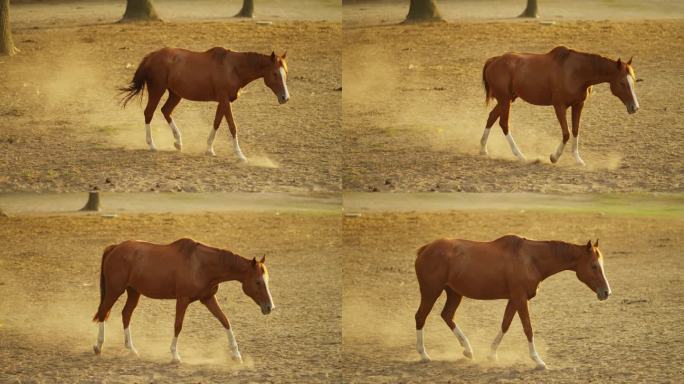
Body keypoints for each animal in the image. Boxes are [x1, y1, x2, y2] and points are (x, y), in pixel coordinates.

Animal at [92, 237, 274, 364]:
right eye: (258, 282)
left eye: (267, 280)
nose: (269, 307)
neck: (201, 265)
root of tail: (115, 248)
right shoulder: (182, 300)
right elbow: (178, 326)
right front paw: (175, 356)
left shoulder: (208, 298)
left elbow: (225, 321)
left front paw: (236, 355)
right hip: (115, 290)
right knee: (103, 312)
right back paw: (98, 346)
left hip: (133, 292)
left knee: (126, 315)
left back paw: (132, 349)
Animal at [119, 47, 288, 160]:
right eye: (274, 73)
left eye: (285, 73)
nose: (285, 97)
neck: (233, 68)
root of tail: (151, 56)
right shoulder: (225, 100)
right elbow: (232, 126)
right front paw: (240, 155)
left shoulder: (223, 101)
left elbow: (217, 123)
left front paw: (209, 149)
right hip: (157, 90)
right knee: (149, 113)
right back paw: (152, 145)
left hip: (175, 94)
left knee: (165, 111)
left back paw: (178, 142)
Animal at [414, 234, 612, 368]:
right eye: (594, 266)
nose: (606, 292)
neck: (531, 259)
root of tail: (426, 248)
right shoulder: (520, 298)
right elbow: (528, 328)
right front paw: (538, 360)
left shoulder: (513, 300)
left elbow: (505, 324)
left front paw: (492, 355)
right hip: (431, 292)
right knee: (420, 317)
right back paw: (424, 355)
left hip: (454, 293)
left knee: (447, 315)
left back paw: (468, 350)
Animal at [478, 45, 640, 164]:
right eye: (622, 83)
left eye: (634, 81)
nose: (635, 107)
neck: (577, 72)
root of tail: (494, 61)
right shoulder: (559, 106)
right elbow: (566, 133)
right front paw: (554, 157)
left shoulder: (578, 105)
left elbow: (575, 131)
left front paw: (578, 160)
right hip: (505, 100)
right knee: (504, 124)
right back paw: (520, 155)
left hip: (507, 99)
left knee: (491, 117)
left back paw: (483, 149)